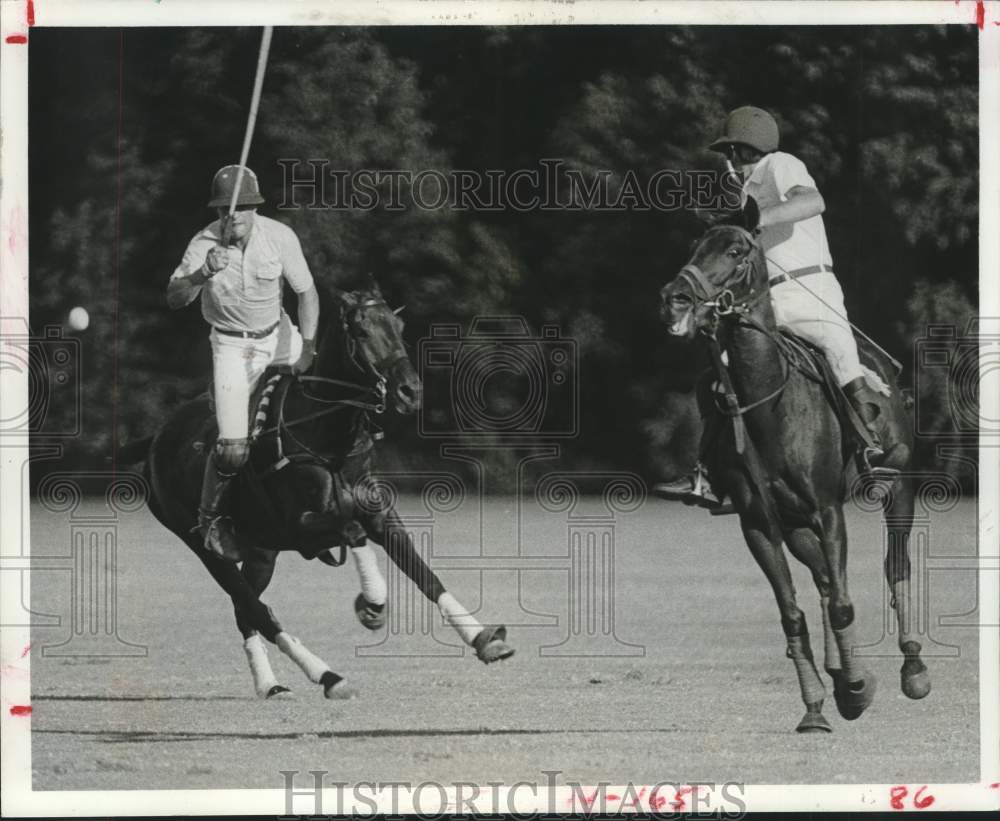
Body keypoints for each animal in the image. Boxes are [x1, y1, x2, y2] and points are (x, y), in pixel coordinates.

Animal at [132, 282, 512, 700]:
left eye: (398, 327)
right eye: (360, 331)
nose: (410, 391)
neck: (331, 439)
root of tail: (156, 437)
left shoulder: (380, 514)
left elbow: (422, 572)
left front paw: (484, 639)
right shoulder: (302, 527)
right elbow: (353, 531)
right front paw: (372, 604)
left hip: (262, 551)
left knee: (244, 610)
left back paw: (270, 684)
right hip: (203, 546)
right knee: (256, 609)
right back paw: (327, 675)